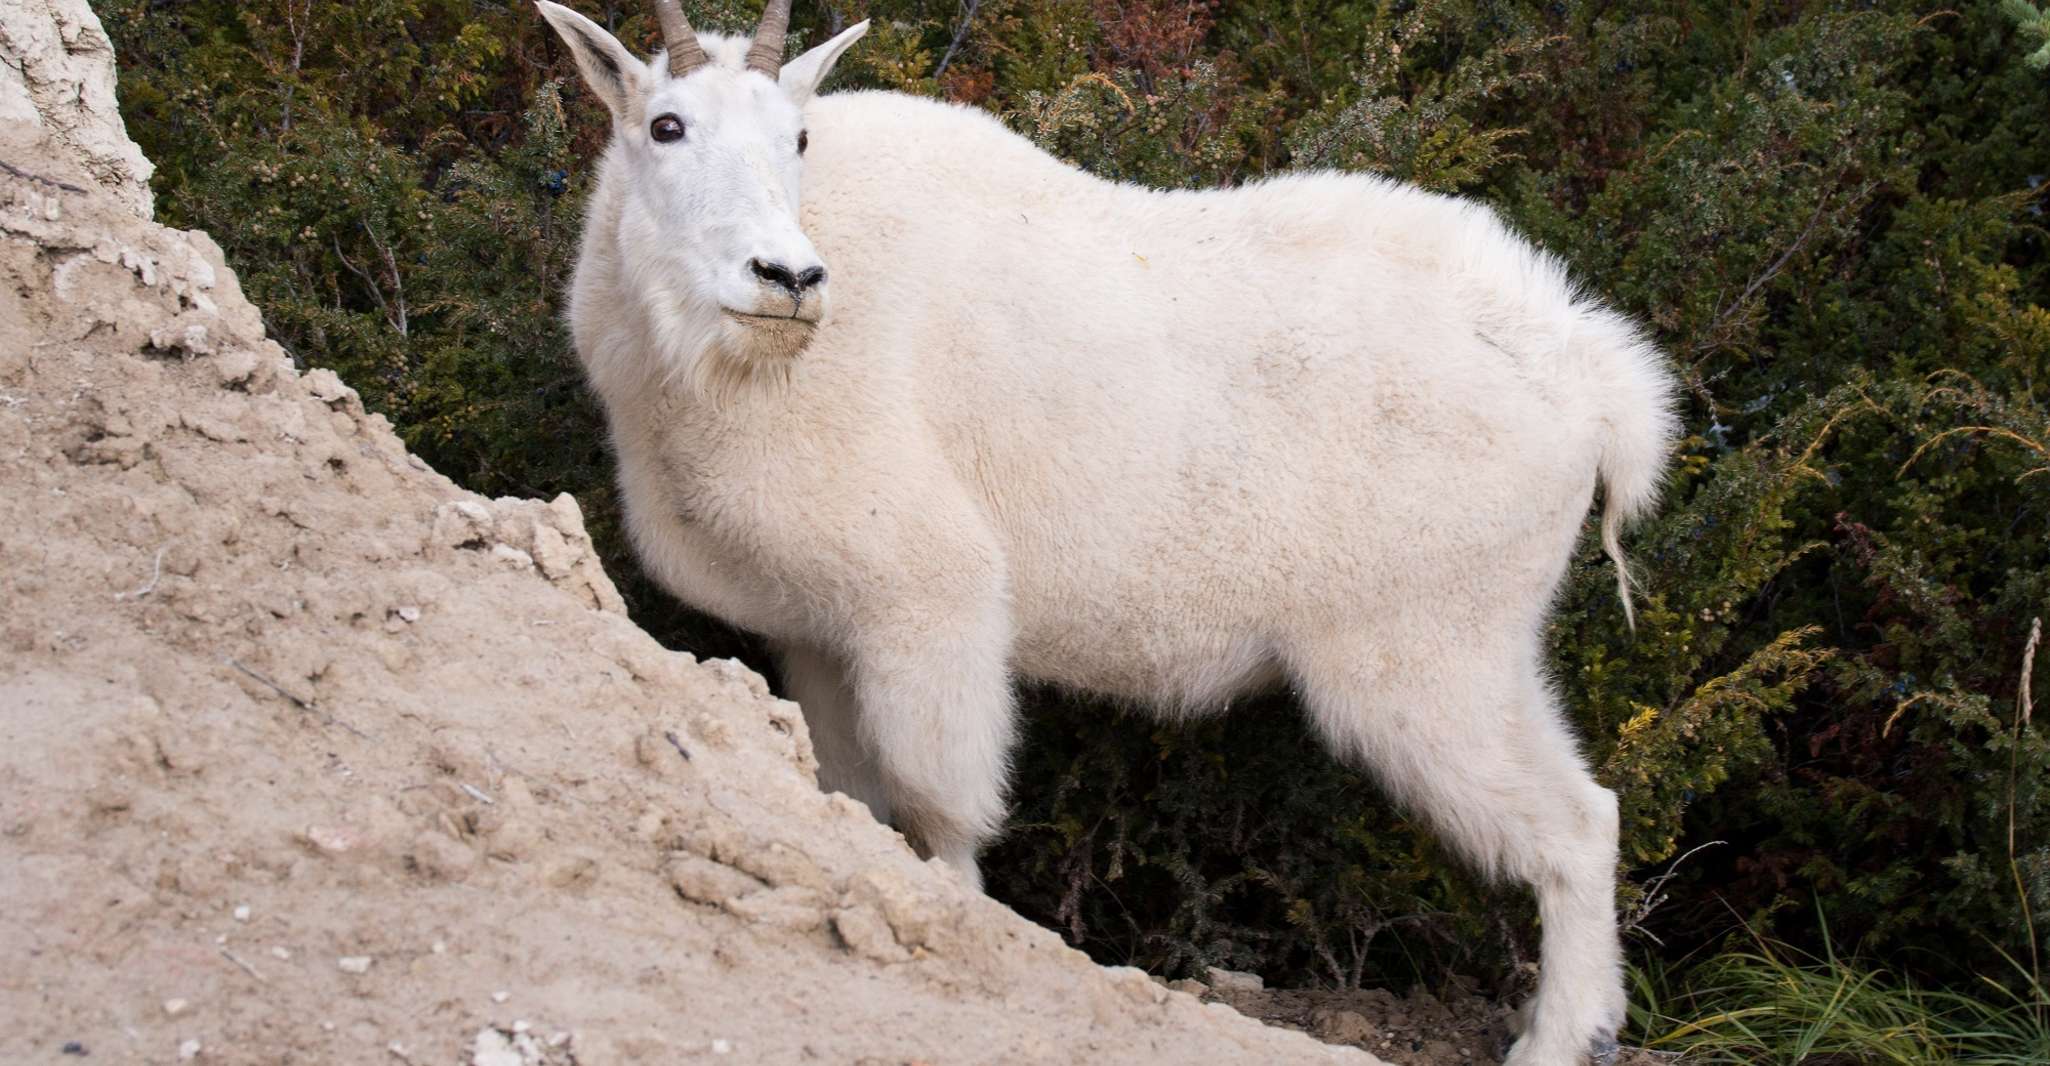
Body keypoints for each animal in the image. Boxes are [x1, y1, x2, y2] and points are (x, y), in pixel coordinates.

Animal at [533, 4, 1681, 1057]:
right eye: (667, 125)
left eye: (797, 138)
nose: (788, 280)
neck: (709, 371)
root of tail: (1594, 384)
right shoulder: (817, 632)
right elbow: (852, 800)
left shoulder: (929, 597)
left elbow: (939, 808)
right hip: (1483, 644)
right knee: (1595, 808)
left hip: (1427, 648)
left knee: (1573, 825)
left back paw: (1555, 1037)